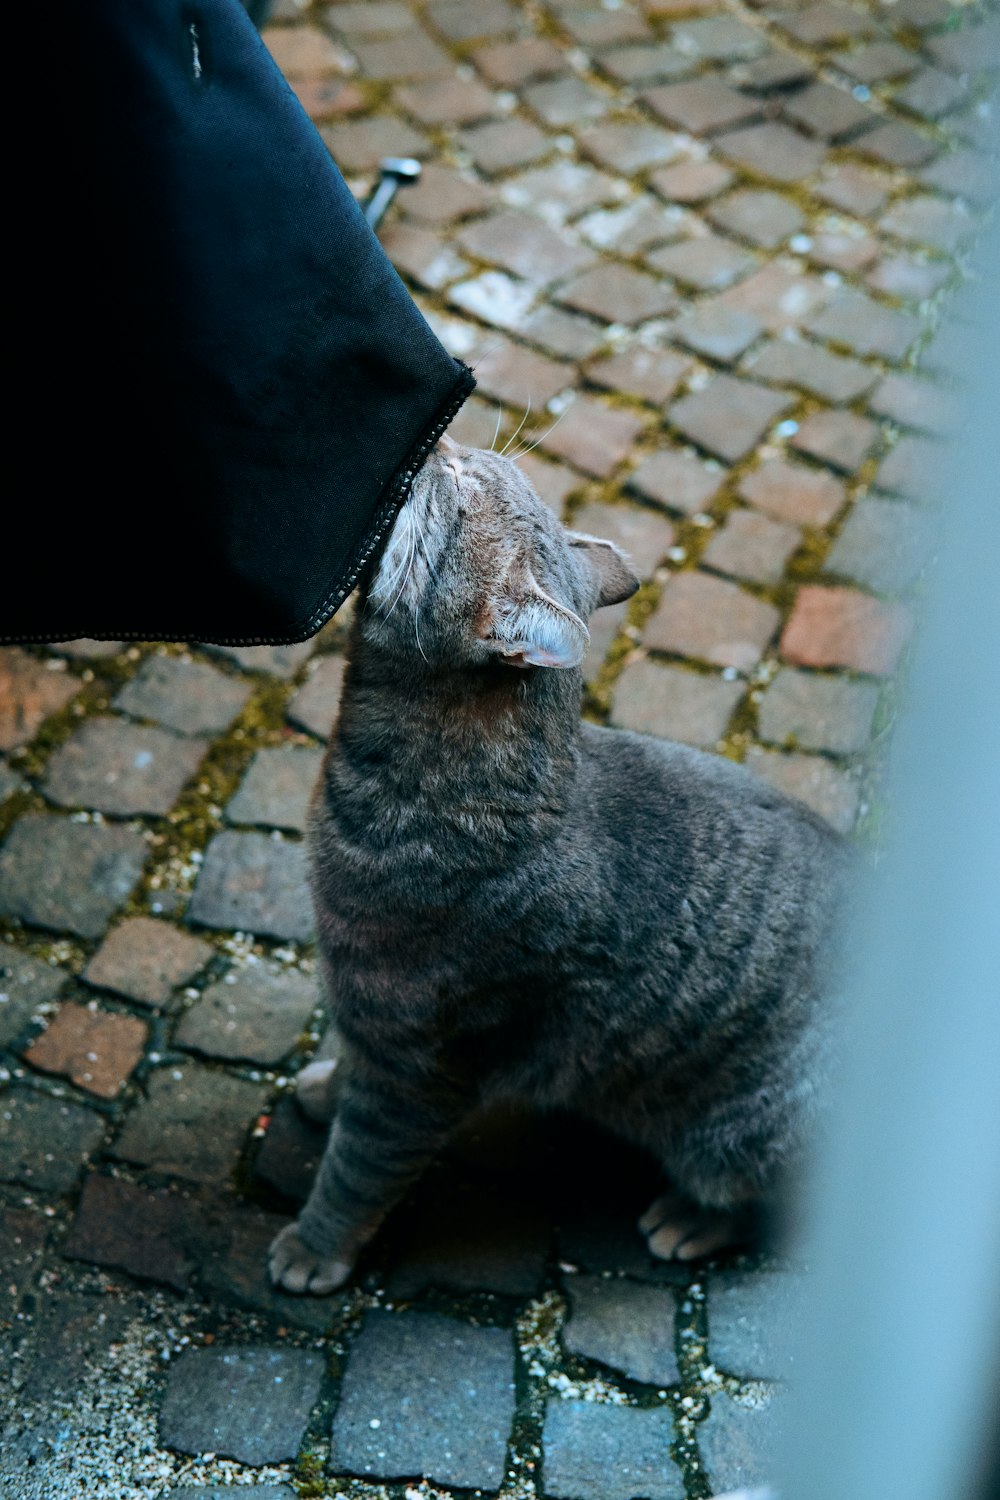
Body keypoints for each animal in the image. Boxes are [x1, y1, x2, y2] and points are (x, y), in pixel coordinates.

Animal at [269, 432, 851, 1290]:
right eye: (469, 462)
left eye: (458, 486)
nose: (440, 440)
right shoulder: (374, 1025)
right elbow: (349, 1074)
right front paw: (324, 1090)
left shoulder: (422, 1070)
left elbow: (358, 1171)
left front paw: (314, 1248)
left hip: (732, 1138)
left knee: (758, 1203)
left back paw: (689, 1220)